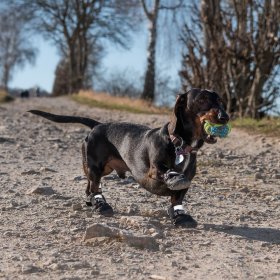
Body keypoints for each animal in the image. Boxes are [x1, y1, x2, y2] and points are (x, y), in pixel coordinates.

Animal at [29, 88, 230, 226]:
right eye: (202, 99)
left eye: (220, 100)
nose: (225, 116)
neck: (180, 144)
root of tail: (97, 125)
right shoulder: (152, 170)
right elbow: (166, 171)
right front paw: (173, 177)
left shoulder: (188, 181)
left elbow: (177, 199)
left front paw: (180, 216)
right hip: (96, 167)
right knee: (95, 186)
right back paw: (101, 204)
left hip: (102, 169)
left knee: (89, 187)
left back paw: (91, 201)